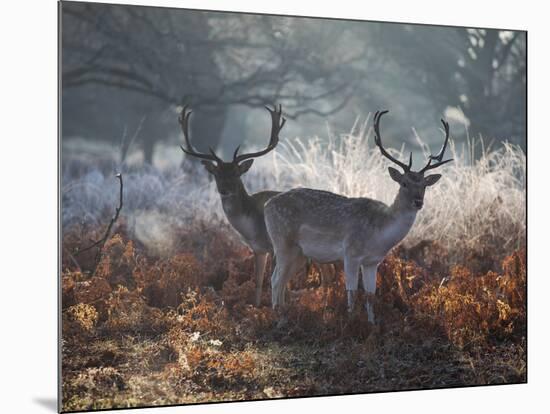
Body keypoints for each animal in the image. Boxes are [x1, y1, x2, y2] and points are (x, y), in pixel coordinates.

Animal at [180, 105, 286, 306]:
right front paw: (256, 307)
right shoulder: (258, 249)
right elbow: (258, 282)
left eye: (237, 172)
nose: (224, 189)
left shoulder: (276, 247)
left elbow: (277, 282)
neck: (254, 228)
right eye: (216, 173)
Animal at [266, 111, 452, 324]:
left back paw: (283, 315)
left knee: (281, 280)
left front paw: (372, 324)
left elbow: (371, 295)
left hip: (299, 253)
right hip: (282, 243)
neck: (379, 235)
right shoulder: (350, 253)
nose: (418, 201)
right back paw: (279, 319)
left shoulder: (372, 261)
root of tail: (267, 205)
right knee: (275, 279)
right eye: (404, 183)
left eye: (424, 185)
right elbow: (352, 292)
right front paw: (350, 322)